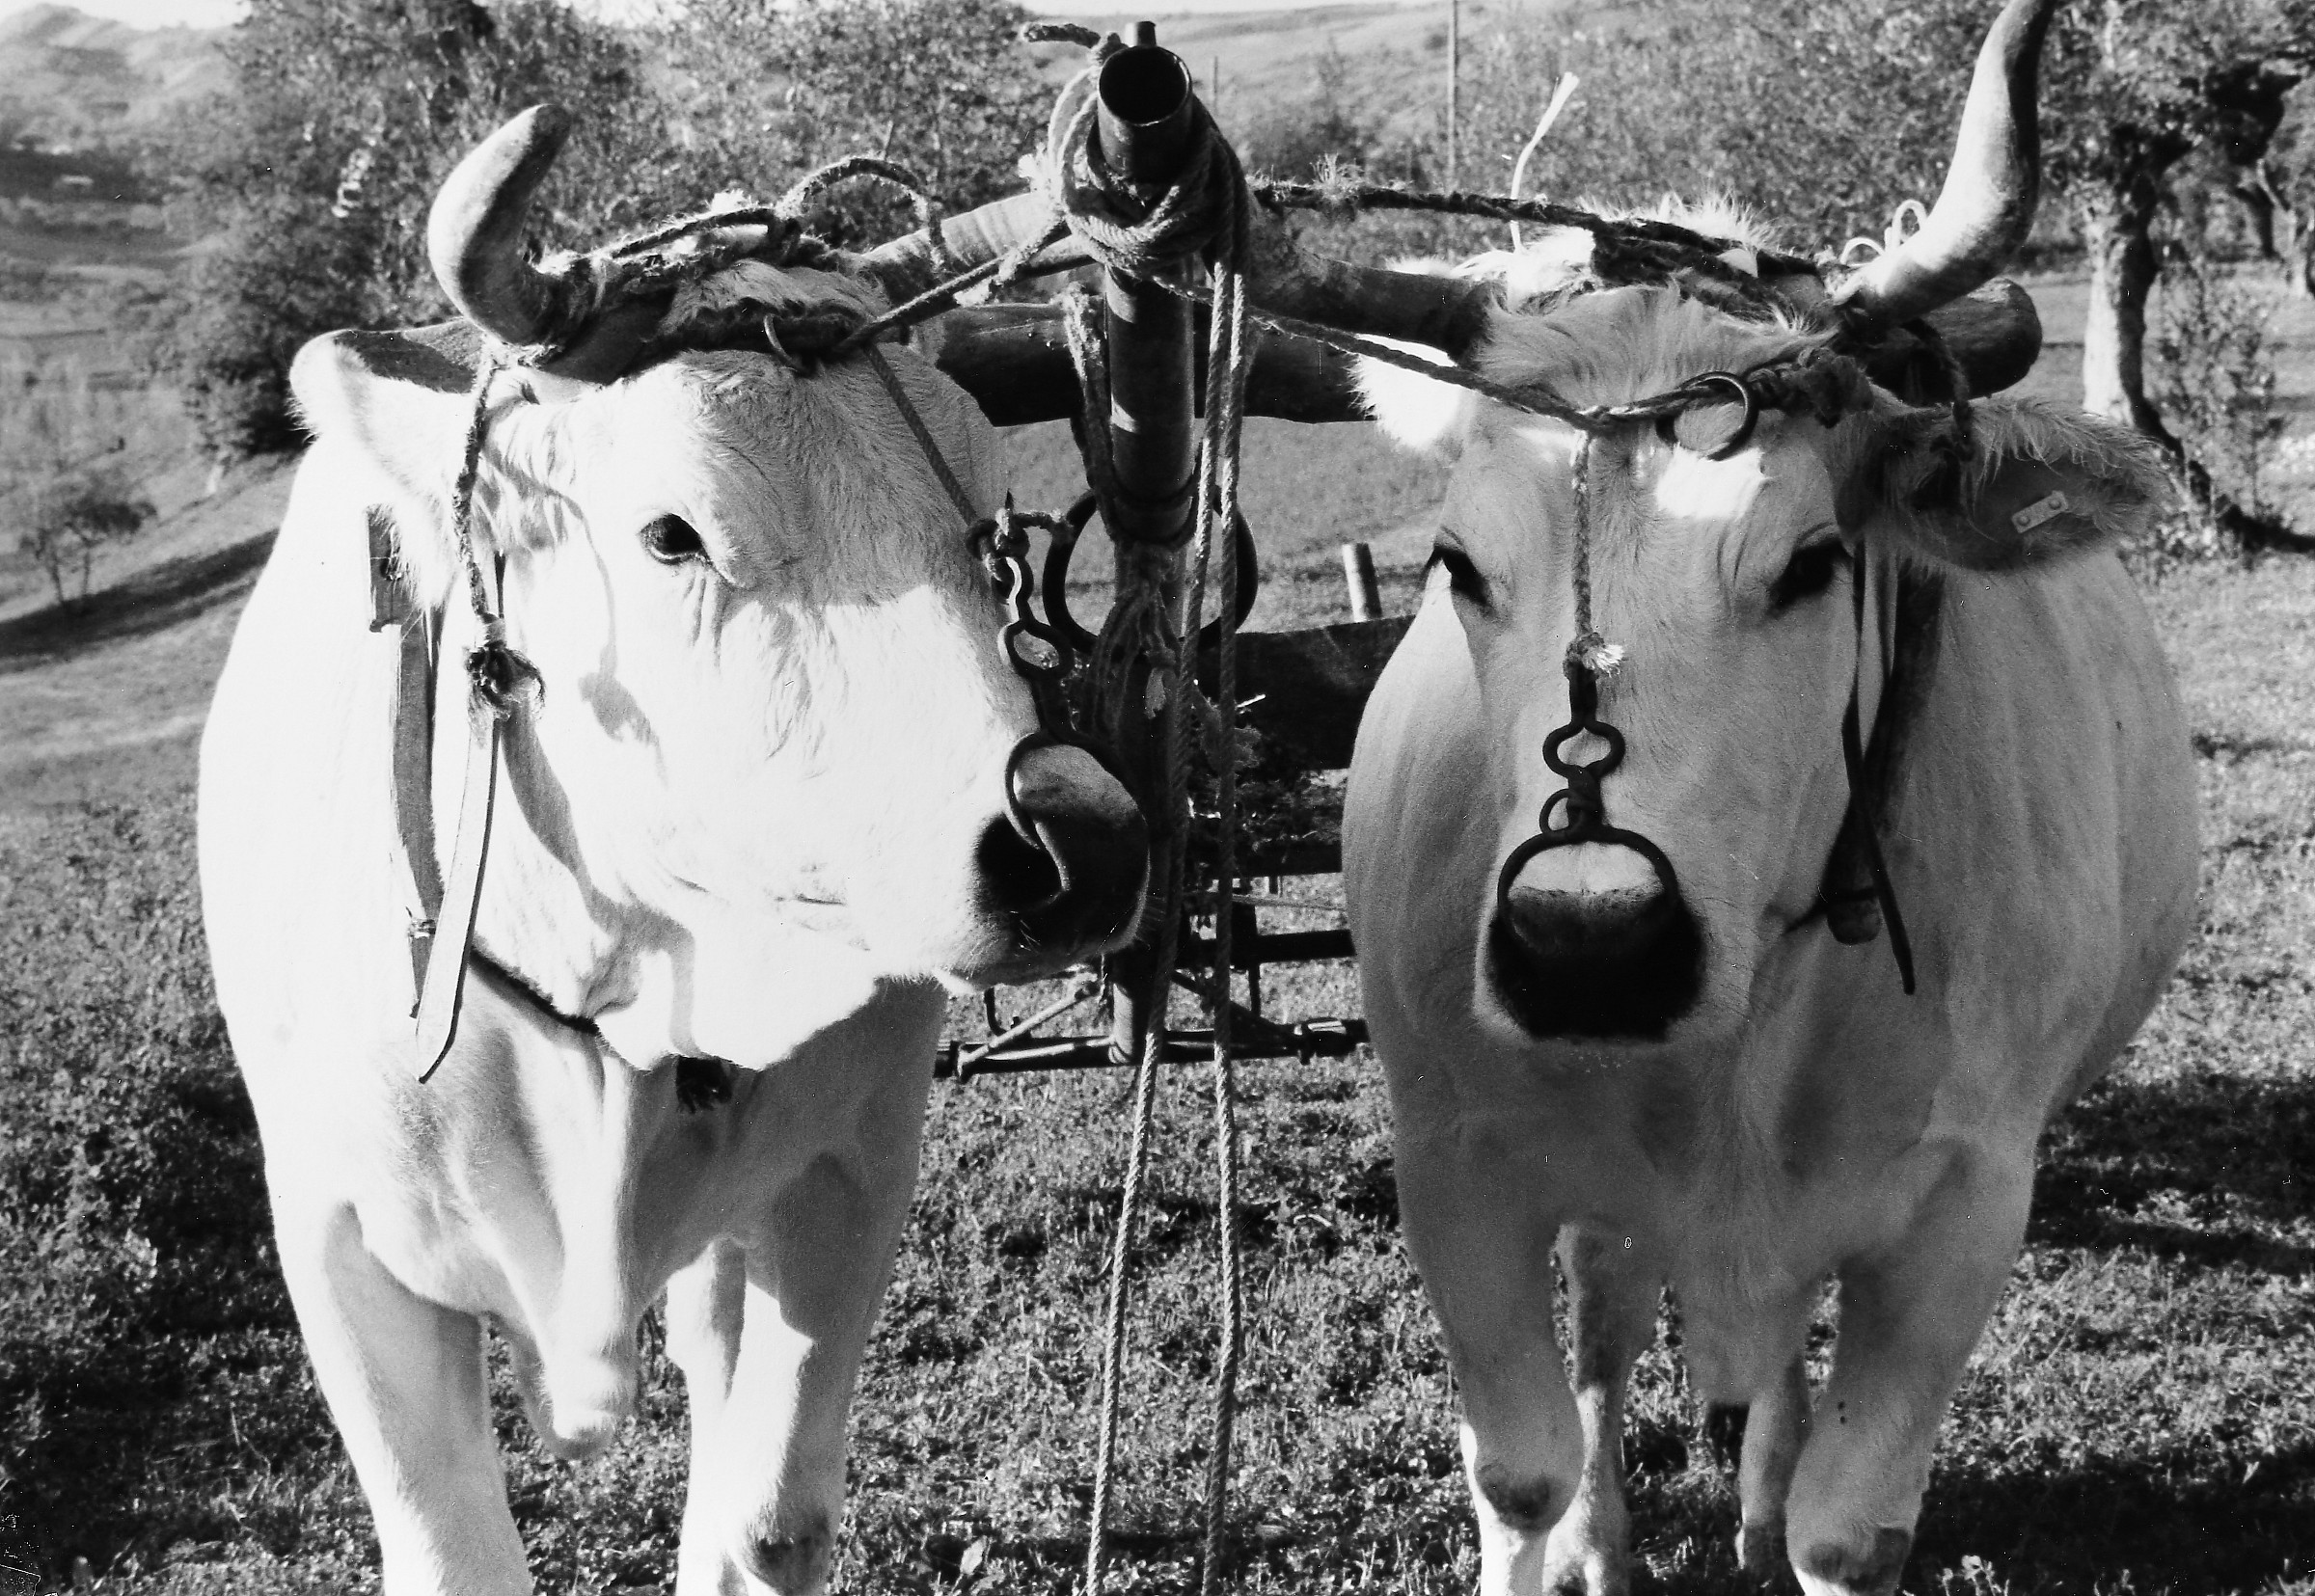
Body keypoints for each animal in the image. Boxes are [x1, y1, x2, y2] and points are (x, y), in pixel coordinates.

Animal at [198, 110, 1148, 1595]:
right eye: (671, 532)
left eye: (990, 518)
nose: (1078, 837)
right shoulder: (337, 1236)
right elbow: (448, 1548)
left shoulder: (845, 1178)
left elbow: (764, 1520)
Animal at [1339, 3, 2198, 1594]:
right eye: (1457, 564)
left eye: (1809, 559)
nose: (1589, 945)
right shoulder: (1458, 1161)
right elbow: (1523, 1462)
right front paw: (1572, 1529)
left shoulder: (1963, 1204)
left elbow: (1849, 1528)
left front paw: (1780, 1504)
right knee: (1613, 1320)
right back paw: (1611, 1542)